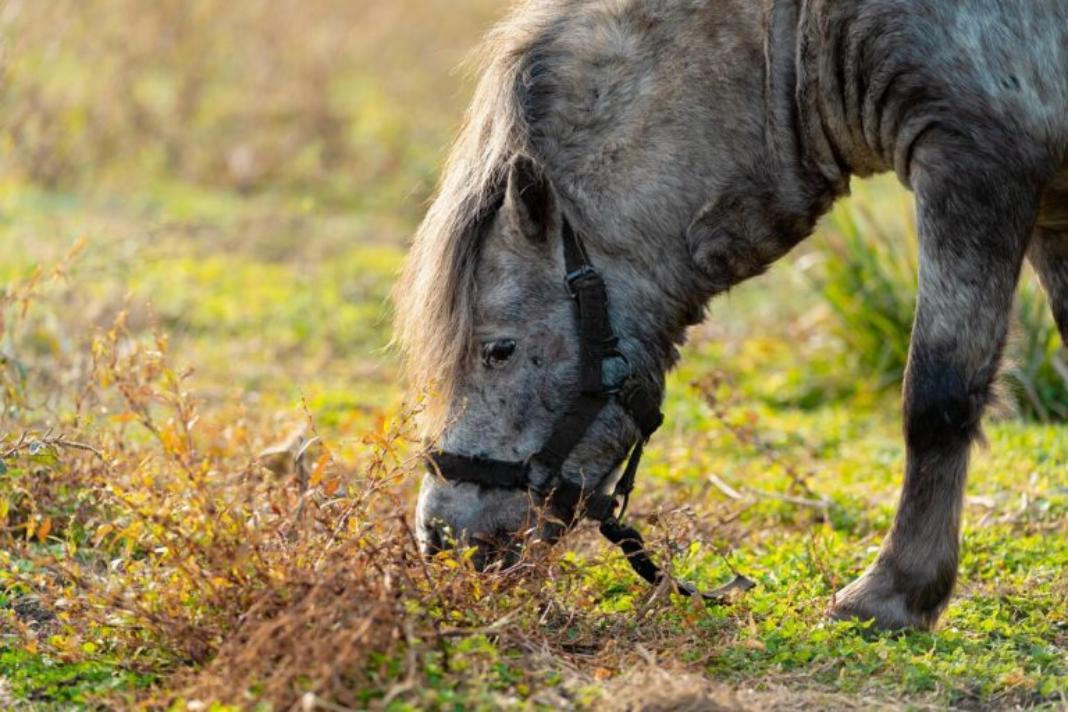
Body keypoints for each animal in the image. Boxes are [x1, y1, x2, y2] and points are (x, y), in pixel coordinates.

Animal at [395, 0, 1068, 631]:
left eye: (498, 349)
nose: (439, 538)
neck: (803, 32)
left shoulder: (974, 165)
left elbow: (936, 398)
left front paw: (894, 595)